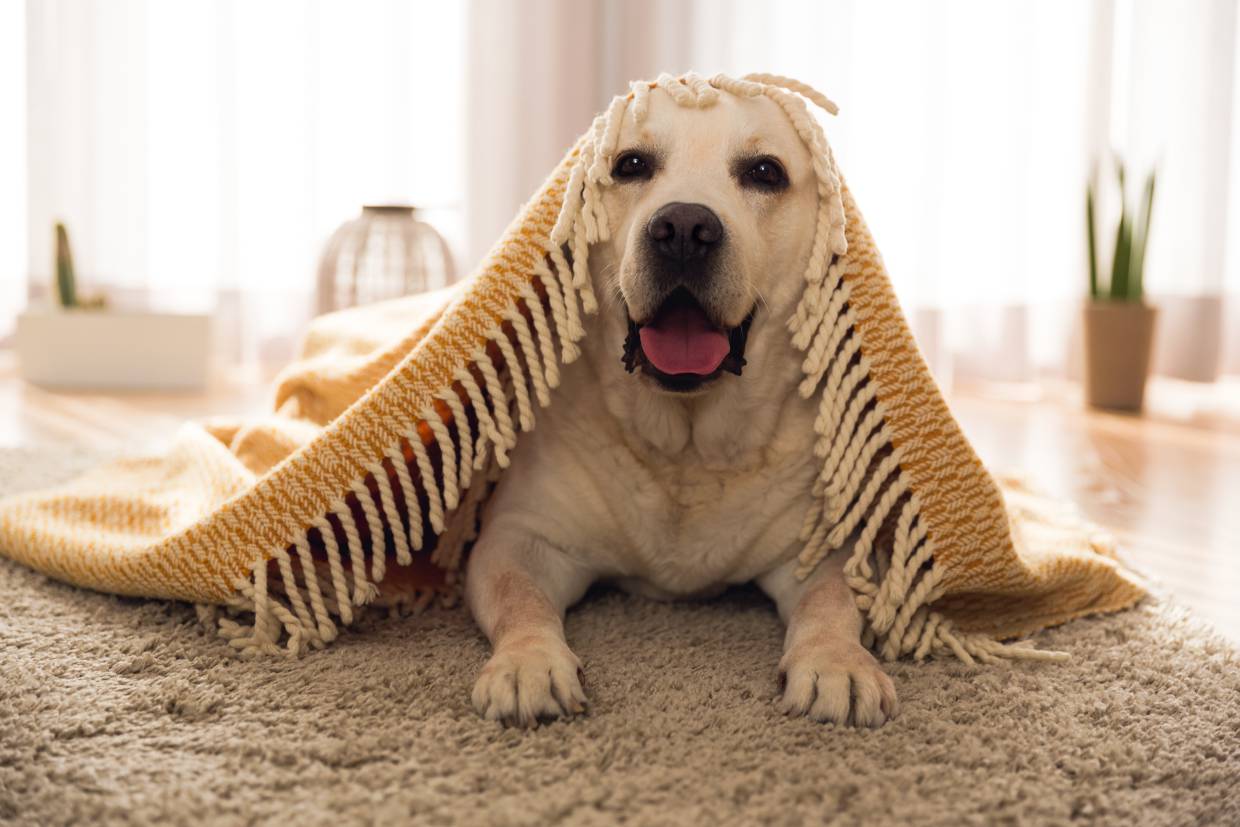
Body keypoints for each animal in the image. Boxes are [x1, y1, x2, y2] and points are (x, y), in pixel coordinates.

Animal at [461, 87, 897, 729]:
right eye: (630, 165)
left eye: (765, 172)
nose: (685, 228)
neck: (686, 448)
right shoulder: (520, 538)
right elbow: (521, 599)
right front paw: (529, 663)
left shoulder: (824, 548)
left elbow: (832, 600)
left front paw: (837, 663)